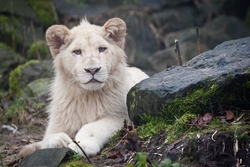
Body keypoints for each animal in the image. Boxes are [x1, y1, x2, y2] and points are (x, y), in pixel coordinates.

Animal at [19, 18, 148, 158]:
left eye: (102, 49)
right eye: (77, 52)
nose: (92, 70)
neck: (87, 97)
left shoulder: (120, 116)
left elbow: (91, 127)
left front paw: (82, 145)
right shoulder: (59, 120)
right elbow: (47, 137)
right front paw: (58, 139)